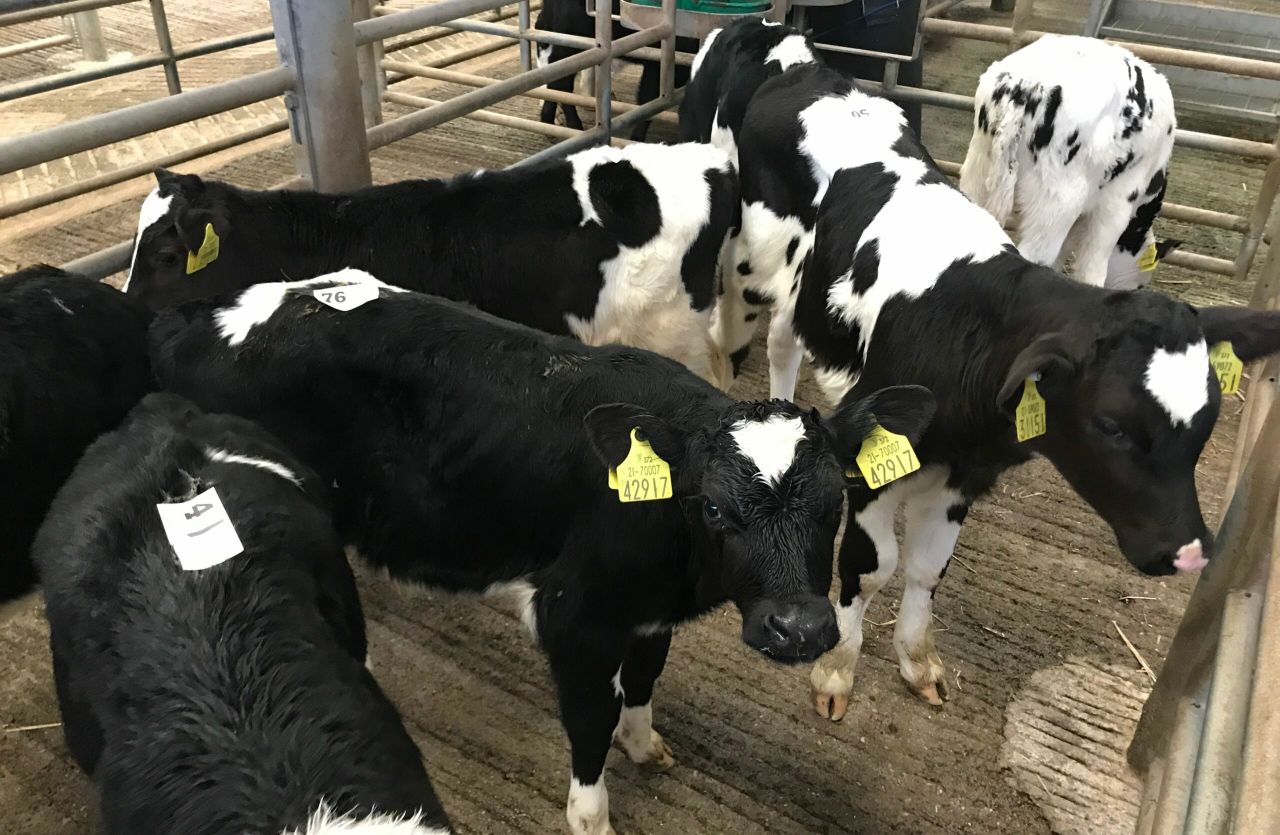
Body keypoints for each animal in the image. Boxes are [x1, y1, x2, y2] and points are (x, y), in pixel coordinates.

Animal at [148, 268, 937, 835]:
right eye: (713, 506)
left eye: (835, 501)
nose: (799, 628)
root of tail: (205, 313)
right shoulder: (574, 620)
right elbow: (589, 724)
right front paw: (592, 818)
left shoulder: (647, 614)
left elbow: (643, 681)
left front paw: (645, 745)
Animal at [534, 0, 695, 141]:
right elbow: (649, 99)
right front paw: (637, 139)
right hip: (570, 37)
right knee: (560, 81)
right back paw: (569, 125)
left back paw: (551, 122)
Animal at [960, 34, 1180, 289]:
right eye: (1141, 285)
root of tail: (1025, 86)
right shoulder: (1117, 203)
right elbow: (1092, 269)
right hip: (1058, 202)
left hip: (977, 170)